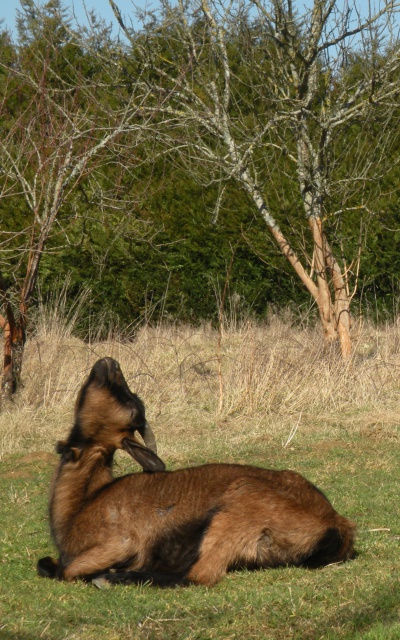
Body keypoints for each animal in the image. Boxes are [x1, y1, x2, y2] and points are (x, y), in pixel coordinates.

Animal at [38, 358, 356, 588]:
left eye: (132, 406)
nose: (109, 362)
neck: (82, 504)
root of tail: (337, 523)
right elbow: (46, 563)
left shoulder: (120, 541)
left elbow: (64, 570)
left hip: (236, 509)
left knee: (200, 575)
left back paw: (115, 577)